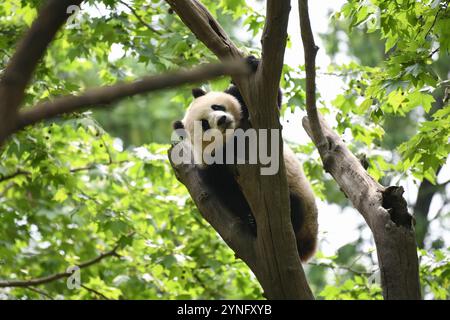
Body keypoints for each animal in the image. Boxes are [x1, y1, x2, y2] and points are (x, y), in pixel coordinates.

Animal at [171, 58, 316, 262]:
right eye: (205, 124)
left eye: (216, 107)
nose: (222, 120)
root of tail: (308, 249)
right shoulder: (212, 165)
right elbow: (227, 190)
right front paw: (249, 219)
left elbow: (267, 104)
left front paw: (251, 63)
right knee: (293, 207)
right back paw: (253, 224)